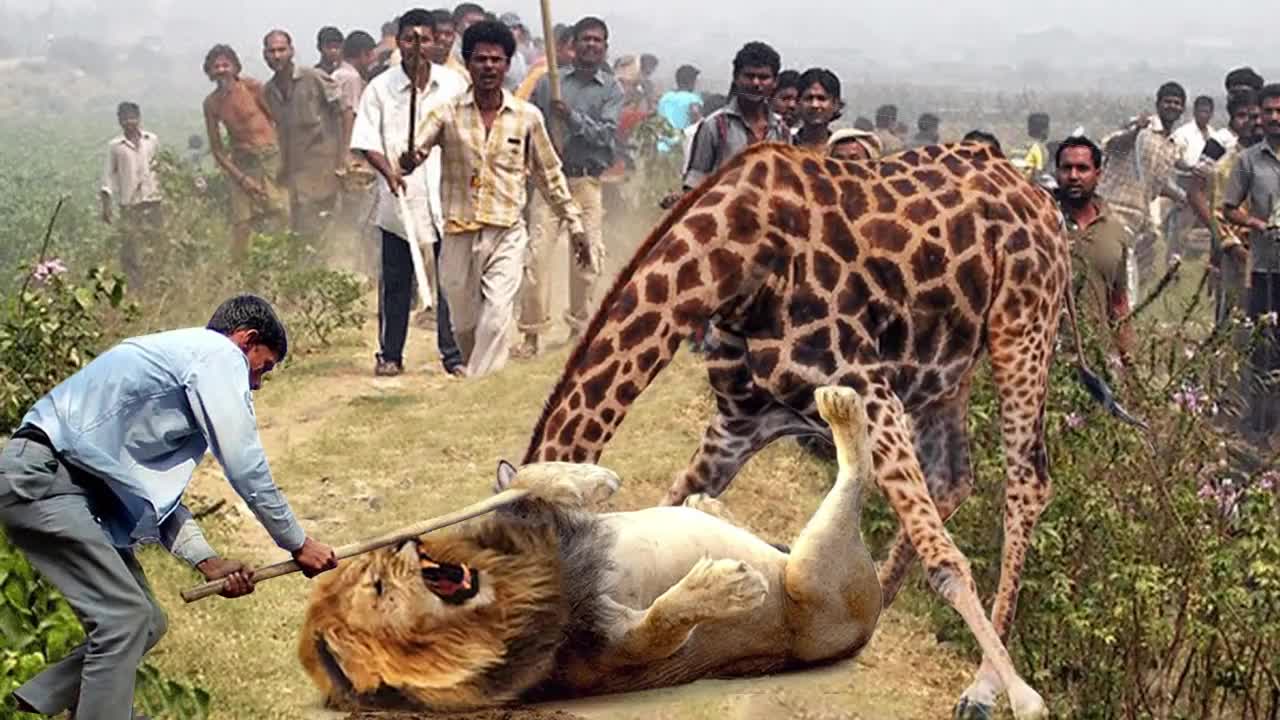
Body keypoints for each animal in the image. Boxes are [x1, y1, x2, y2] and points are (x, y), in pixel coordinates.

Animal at [298, 384, 880, 707]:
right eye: (376, 591)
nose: (407, 544)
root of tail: (865, 634)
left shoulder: (528, 520)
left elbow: (522, 482)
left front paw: (586, 477)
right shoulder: (617, 651)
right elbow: (663, 621)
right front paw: (725, 587)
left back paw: (707, 502)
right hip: (812, 576)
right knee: (854, 477)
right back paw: (842, 407)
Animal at [514, 141, 1116, 717]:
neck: (730, 263)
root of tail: (1044, 203)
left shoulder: (867, 384)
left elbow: (945, 560)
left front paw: (1020, 696)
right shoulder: (736, 423)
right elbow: (673, 507)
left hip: (1023, 323)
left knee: (1026, 482)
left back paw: (983, 686)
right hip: (950, 368)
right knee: (954, 479)